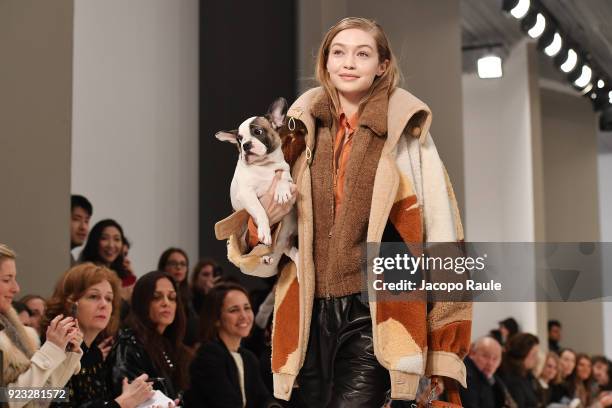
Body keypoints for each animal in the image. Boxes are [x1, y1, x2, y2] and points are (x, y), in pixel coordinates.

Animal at [215, 98, 304, 268]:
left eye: (258, 132)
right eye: (239, 139)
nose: (245, 145)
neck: (264, 165)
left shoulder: (285, 172)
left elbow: (283, 177)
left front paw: (282, 192)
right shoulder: (247, 194)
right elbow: (260, 210)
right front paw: (264, 231)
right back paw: (265, 257)